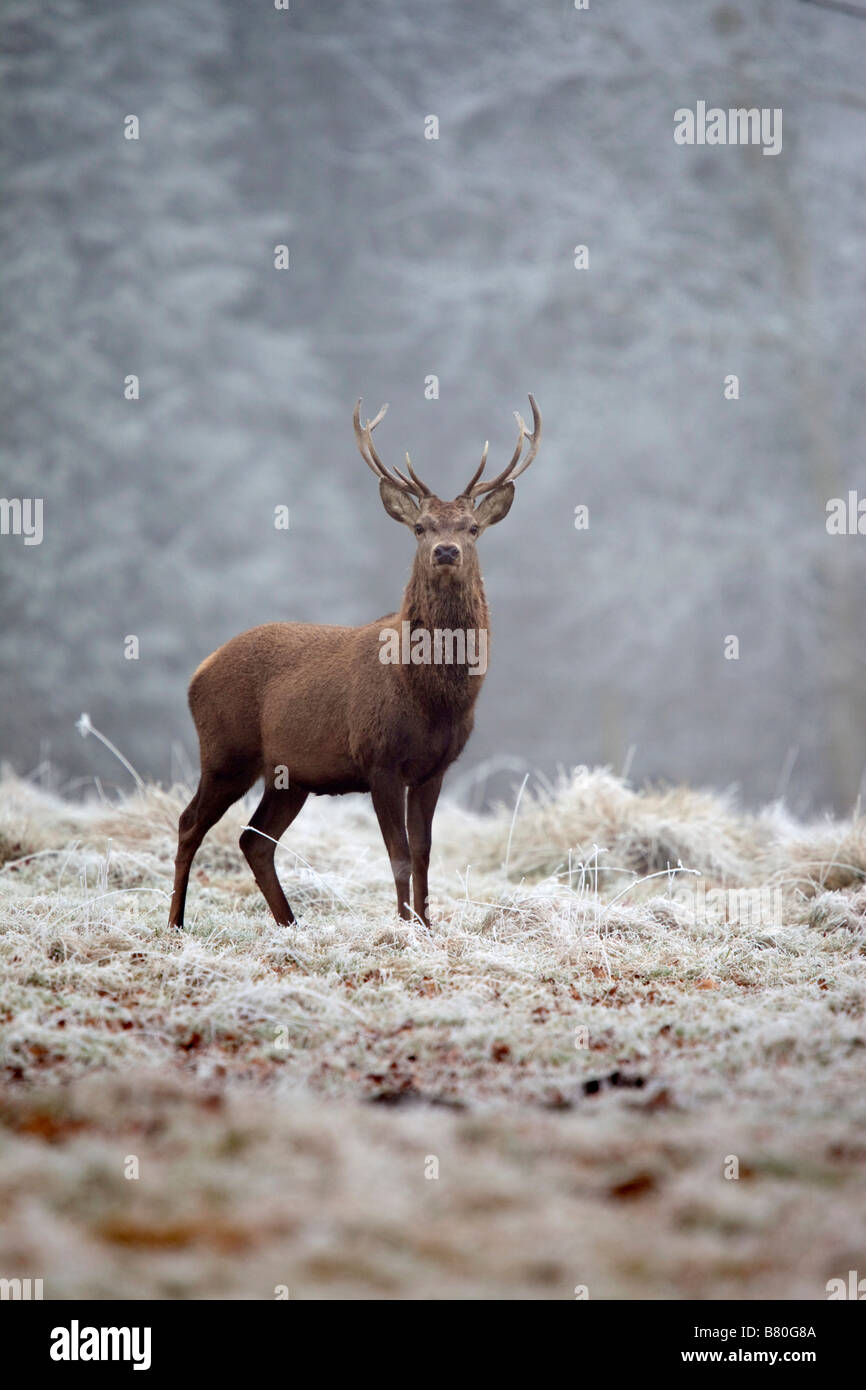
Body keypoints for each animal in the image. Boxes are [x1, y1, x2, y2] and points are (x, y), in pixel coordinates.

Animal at [169, 397, 542, 928]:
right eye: (421, 527)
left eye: (472, 528)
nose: (446, 551)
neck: (431, 697)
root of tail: (199, 671)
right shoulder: (377, 758)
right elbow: (399, 855)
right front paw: (405, 928)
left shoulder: (435, 768)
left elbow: (425, 853)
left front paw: (427, 925)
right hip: (225, 751)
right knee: (189, 823)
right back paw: (175, 923)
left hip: (289, 776)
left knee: (254, 839)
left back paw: (289, 924)